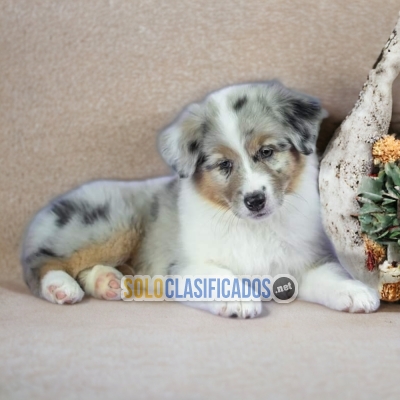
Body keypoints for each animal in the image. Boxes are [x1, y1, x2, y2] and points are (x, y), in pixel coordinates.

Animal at [20, 81, 380, 318]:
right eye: (224, 165)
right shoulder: (182, 267)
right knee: (40, 263)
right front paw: (240, 300)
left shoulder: (299, 263)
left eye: (266, 152)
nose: (255, 201)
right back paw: (60, 287)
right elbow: (219, 276)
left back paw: (108, 283)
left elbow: (329, 275)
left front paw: (356, 292)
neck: (253, 228)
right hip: (111, 224)